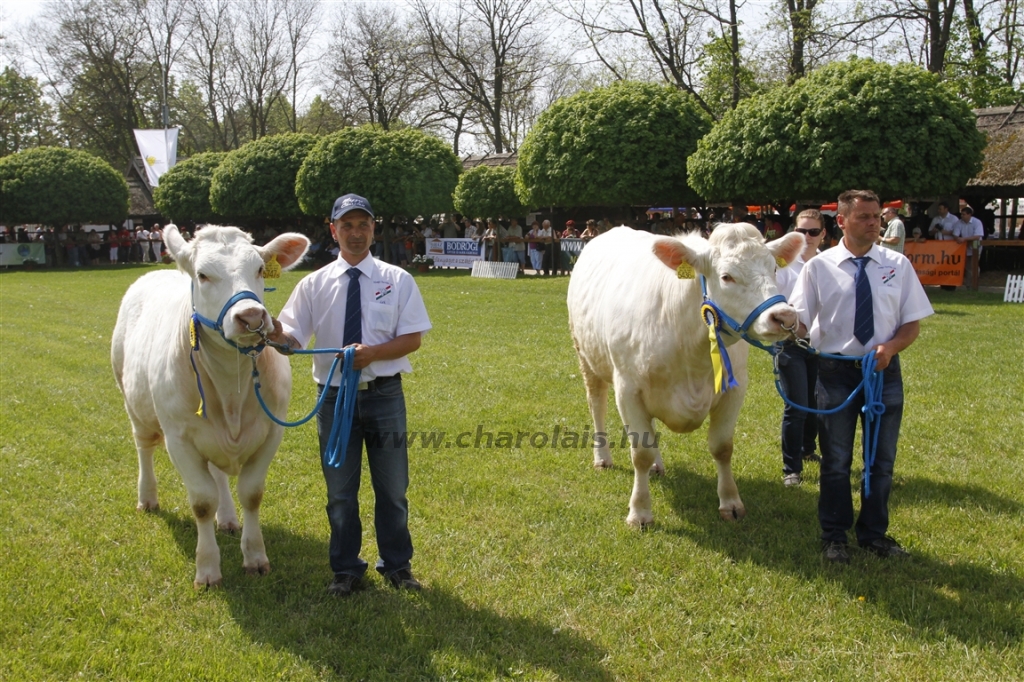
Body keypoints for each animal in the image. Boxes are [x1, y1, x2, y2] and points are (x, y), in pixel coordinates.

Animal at [112, 223, 309, 585]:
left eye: (260, 269)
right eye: (203, 275)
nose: (251, 316)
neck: (232, 387)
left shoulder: (271, 432)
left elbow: (251, 493)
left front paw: (255, 556)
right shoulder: (179, 439)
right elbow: (202, 501)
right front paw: (206, 569)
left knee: (217, 475)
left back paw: (228, 518)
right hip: (133, 403)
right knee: (144, 447)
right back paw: (147, 497)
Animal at [565, 223, 802, 524]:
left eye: (773, 269)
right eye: (726, 277)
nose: (784, 316)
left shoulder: (735, 388)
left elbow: (722, 447)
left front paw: (730, 502)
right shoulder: (628, 390)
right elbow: (639, 453)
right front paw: (639, 512)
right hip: (586, 356)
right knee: (597, 406)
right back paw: (602, 457)